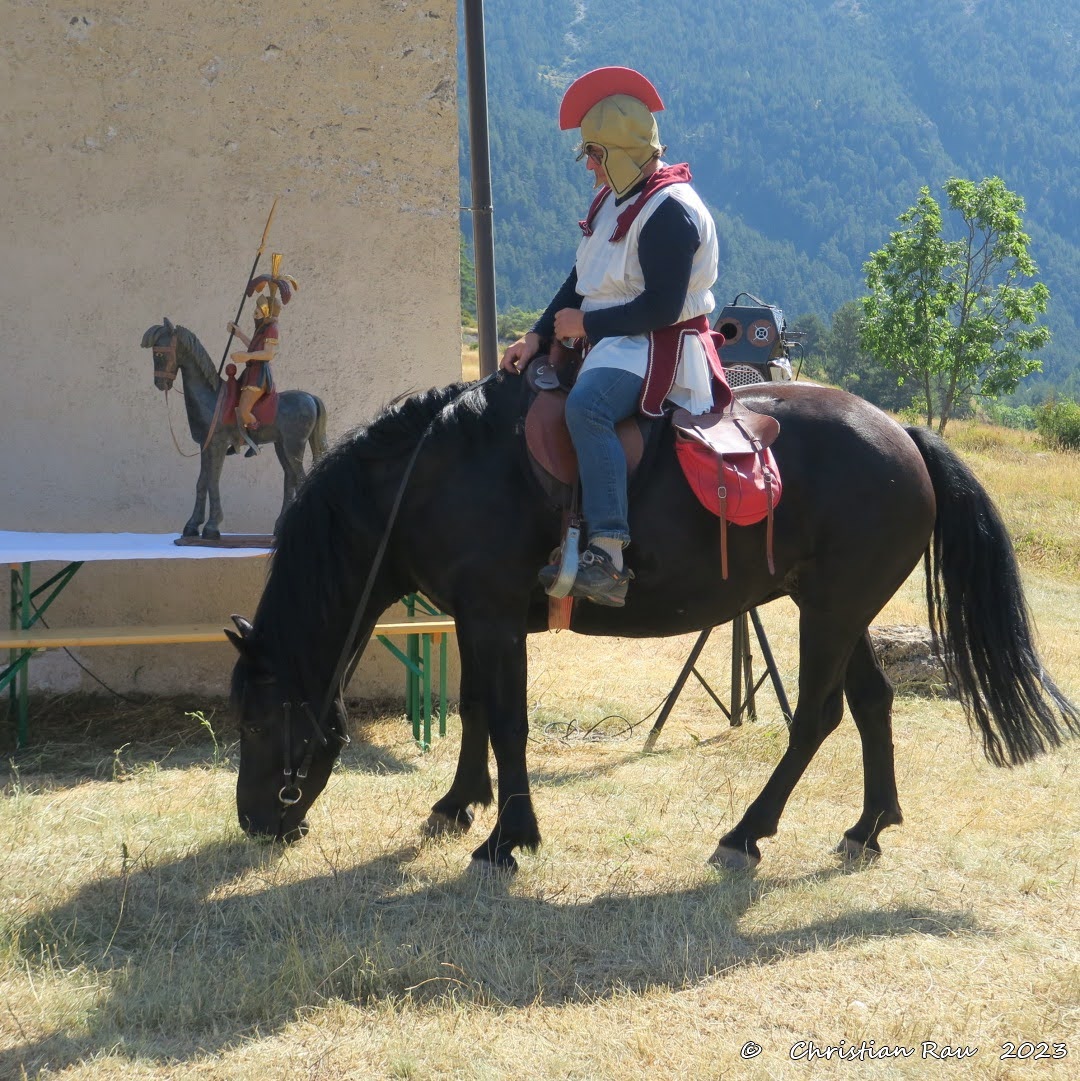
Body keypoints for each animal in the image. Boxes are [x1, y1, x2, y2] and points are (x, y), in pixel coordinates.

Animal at [223, 371, 1076, 869]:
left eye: (259, 722)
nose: (257, 820)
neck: (433, 471)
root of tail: (904, 435)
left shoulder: (493, 614)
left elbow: (507, 720)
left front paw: (508, 837)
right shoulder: (472, 616)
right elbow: (474, 711)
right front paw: (458, 804)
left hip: (832, 611)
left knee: (817, 716)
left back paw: (746, 831)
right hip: (838, 607)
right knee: (872, 703)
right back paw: (868, 825)